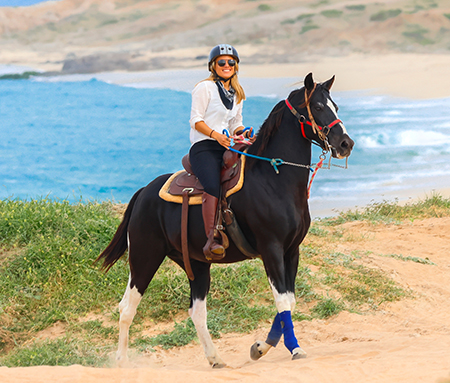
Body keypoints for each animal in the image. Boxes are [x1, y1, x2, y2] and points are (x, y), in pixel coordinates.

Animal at [96, 73, 356, 368]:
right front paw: (294, 348)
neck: (274, 179)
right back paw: (121, 362)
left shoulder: (292, 250)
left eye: (335, 106)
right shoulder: (271, 249)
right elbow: (282, 302)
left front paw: (260, 347)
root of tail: (143, 193)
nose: (346, 144)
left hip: (196, 264)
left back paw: (215, 359)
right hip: (144, 258)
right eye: (319, 107)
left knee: (197, 311)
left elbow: (289, 302)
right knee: (127, 307)